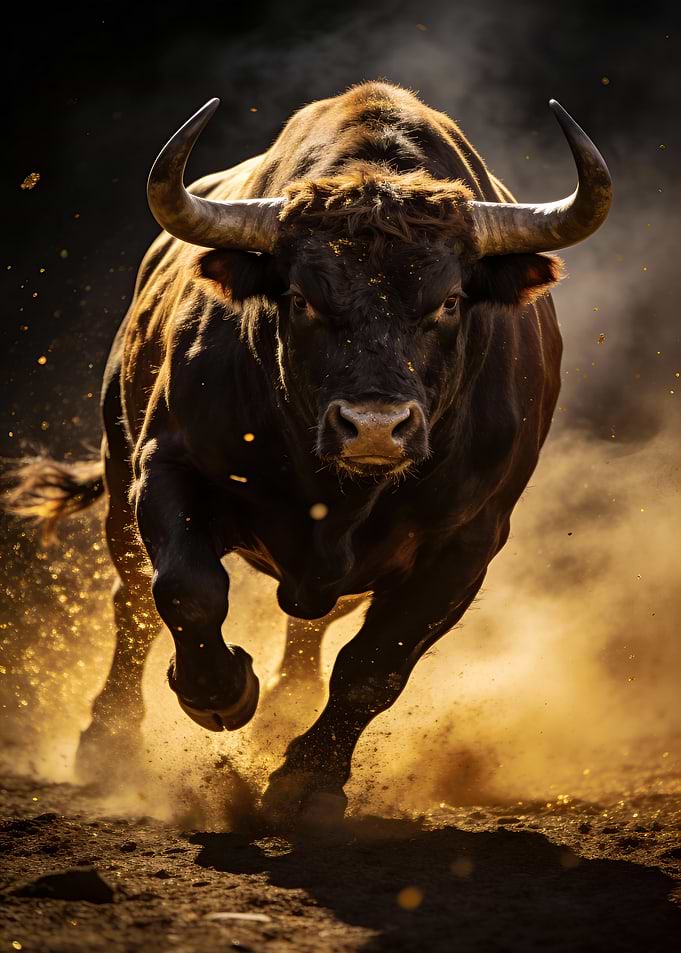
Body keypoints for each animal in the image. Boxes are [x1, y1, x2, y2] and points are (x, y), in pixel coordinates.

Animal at [8, 82, 611, 826]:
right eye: (301, 298)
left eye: (447, 301)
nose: (375, 426)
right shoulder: (165, 467)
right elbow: (185, 590)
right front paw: (219, 693)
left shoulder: (468, 542)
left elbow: (375, 666)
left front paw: (306, 778)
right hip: (119, 480)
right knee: (133, 603)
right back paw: (109, 739)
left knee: (315, 628)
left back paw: (286, 705)